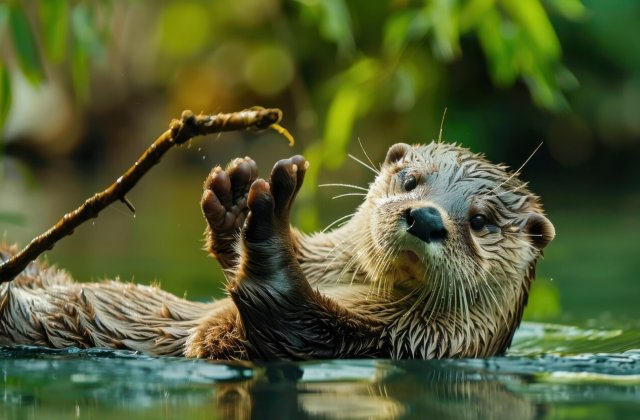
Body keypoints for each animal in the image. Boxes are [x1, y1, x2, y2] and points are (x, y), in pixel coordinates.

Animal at [0, 143, 552, 360]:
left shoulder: (390, 342)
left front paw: (267, 230)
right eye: (411, 180)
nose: (427, 218)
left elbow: (255, 329)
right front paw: (235, 199)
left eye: (479, 221)